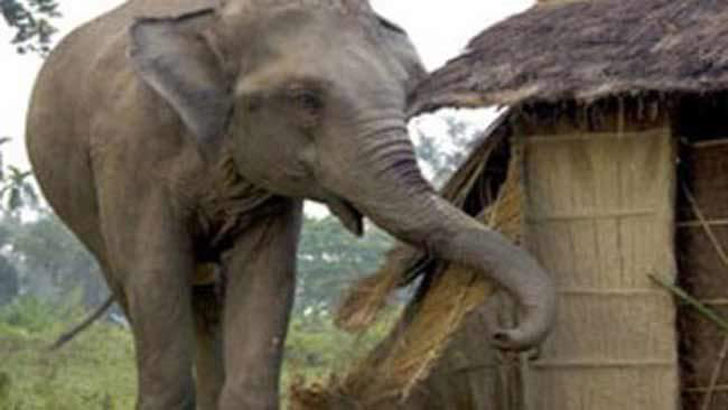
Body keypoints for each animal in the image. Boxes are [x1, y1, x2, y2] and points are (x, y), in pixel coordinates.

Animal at [25, 0, 555, 409]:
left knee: (207, 299)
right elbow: (155, 272)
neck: (221, 20)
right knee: (140, 286)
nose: (505, 337)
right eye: (305, 99)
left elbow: (269, 276)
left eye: (409, 94)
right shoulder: (131, 156)